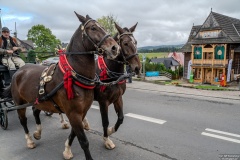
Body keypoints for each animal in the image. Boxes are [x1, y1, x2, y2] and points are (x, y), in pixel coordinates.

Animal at [3, 11, 120, 159]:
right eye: (93, 28)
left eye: (103, 27)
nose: (115, 48)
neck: (73, 75)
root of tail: (18, 71)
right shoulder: (73, 113)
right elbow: (83, 141)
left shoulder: (81, 112)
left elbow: (74, 134)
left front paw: (67, 149)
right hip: (20, 103)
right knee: (23, 120)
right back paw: (29, 140)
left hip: (39, 100)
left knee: (35, 111)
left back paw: (38, 133)